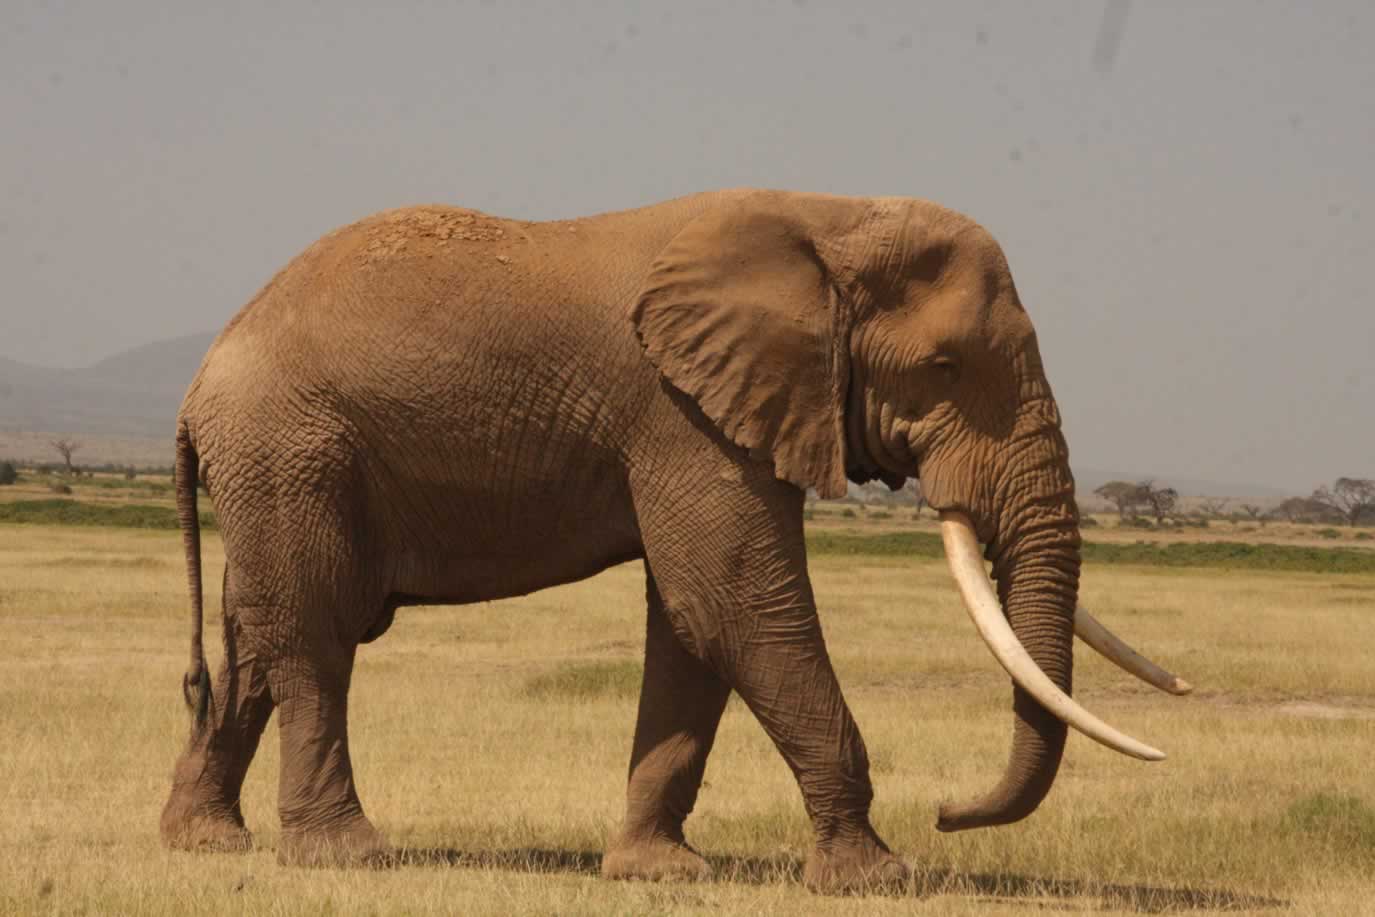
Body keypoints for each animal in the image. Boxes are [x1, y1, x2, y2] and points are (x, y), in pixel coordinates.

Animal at [160, 189, 1188, 890]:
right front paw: (874, 876)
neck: (825, 217)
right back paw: (345, 855)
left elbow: (692, 623)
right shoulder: (679, 409)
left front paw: (657, 871)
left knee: (253, 640)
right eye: (943, 366)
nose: (947, 811)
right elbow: (735, 601)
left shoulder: (701, 412)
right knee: (317, 636)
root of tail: (199, 379)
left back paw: (203, 840)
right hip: (294, 448)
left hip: (277, 465)